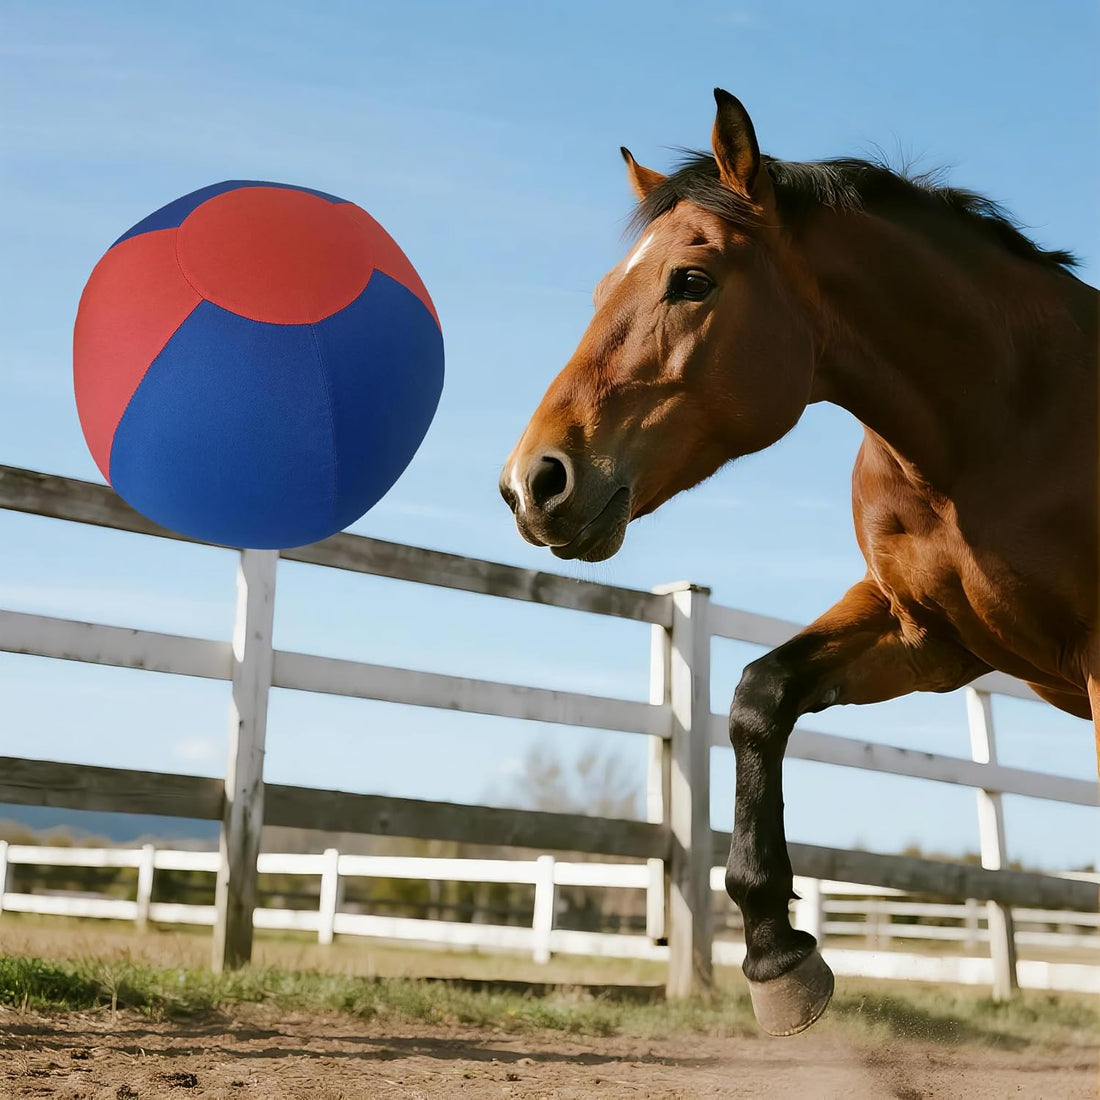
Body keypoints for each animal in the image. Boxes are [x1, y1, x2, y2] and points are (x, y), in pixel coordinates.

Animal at [499, 89, 1098, 1036]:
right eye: (600, 290)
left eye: (692, 281)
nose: (533, 482)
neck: (1009, 419)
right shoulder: (927, 638)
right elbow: (759, 694)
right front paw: (777, 957)